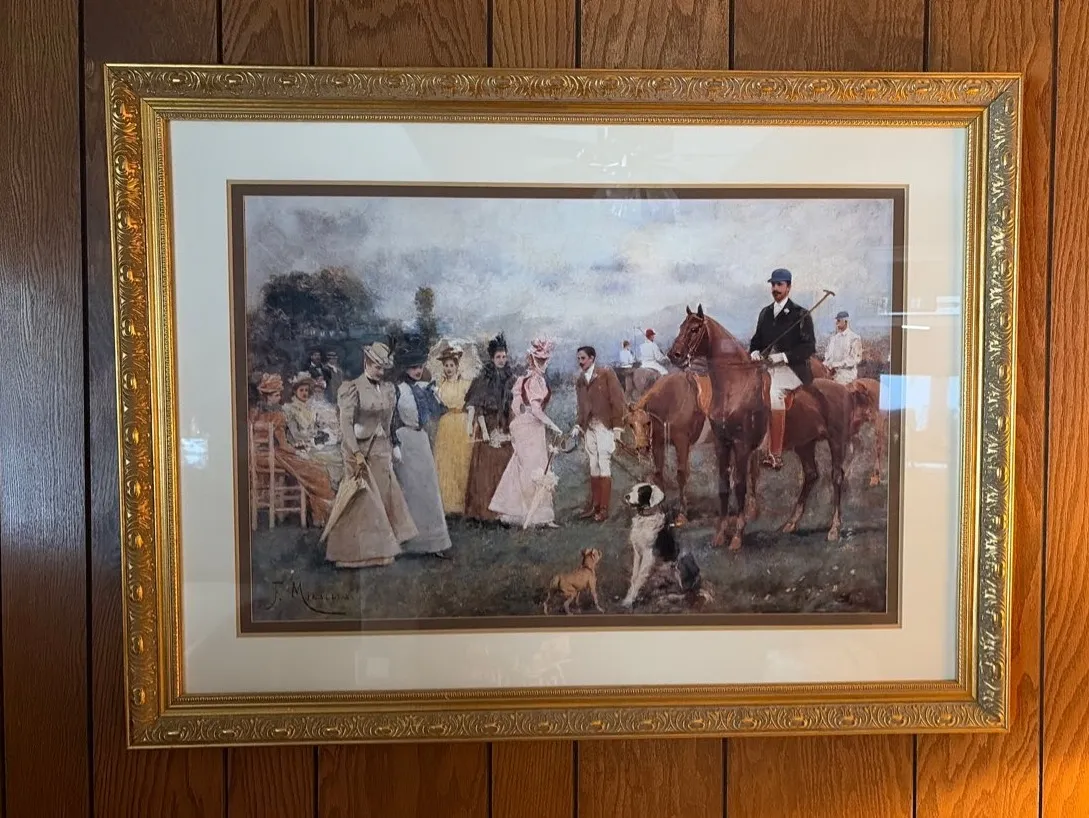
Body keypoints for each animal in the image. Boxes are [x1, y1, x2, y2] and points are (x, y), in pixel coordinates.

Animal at [623, 371, 711, 525]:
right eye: (631, 425)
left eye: (647, 422)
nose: (642, 448)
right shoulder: (658, 444)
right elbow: (658, 474)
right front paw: (660, 507)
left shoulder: (682, 443)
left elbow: (681, 474)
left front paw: (682, 514)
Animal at [666, 304, 855, 550]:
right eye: (681, 326)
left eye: (695, 329)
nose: (674, 355)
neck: (734, 386)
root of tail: (844, 389)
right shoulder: (722, 444)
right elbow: (723, 486)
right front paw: (720, 535)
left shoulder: (742, 445)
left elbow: (740, 485)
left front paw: (737, 536)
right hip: (805, 444)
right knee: (811, 474)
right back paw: (790, 523)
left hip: (836, 441)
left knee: (836, 477)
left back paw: (834, 528)